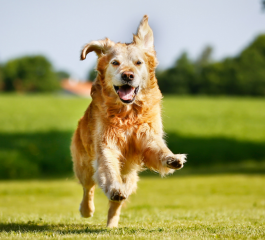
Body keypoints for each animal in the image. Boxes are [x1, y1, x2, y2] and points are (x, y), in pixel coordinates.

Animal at [70, 15, 186, 229]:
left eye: (138, 62)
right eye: (115, 62)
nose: (128, 75)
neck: (127, 113)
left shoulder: (146, 136)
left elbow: (159, 149)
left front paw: (172, 158)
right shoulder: (106, 144)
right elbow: (109, 169)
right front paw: (114, 188)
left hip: (131, 178)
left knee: (116, 203)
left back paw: (112, 224)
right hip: (84, 165)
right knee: (88, 188)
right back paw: (87, 210)